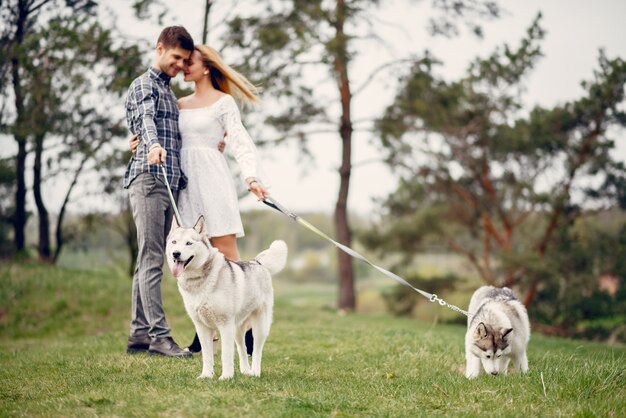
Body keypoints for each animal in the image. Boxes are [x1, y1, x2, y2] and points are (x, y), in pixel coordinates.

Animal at [163, 217, 286, 380]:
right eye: (174, 242)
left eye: (189, 243)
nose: (176, 253)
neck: (199, 282)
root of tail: (257, 262)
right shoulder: (202, 327)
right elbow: (207, 355)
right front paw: (206, 375)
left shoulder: (225, 325)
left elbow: (226, 355)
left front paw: (226, 377)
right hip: (237, 330)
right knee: (242, 348)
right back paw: (245, 371)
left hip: (260, 326)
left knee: (257, 350)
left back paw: (255, 372)